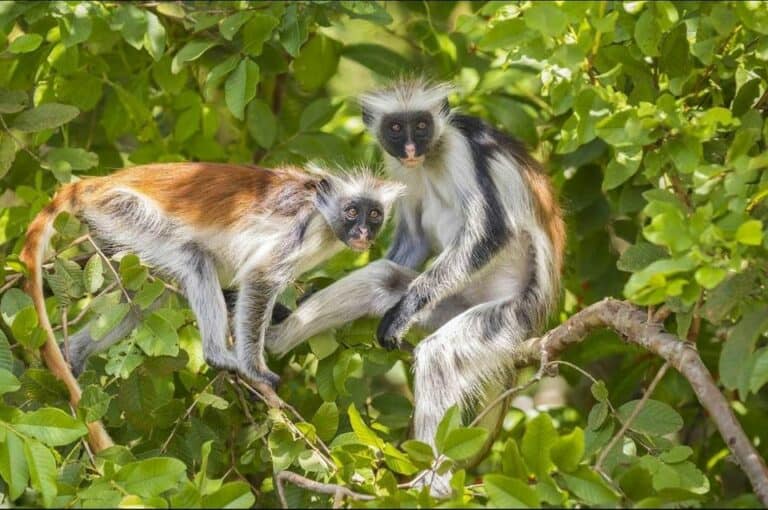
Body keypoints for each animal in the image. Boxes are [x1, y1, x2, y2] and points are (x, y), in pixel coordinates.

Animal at [268, 79, 568, 494]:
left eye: (422, 126)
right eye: (396, 128)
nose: (411, 148)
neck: (431, 158)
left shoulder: (461, 148)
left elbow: (491, 232)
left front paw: (404, 312)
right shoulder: (399, 168)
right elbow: (412, 240)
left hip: (509, 316)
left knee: (440, 355)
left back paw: (433, 485)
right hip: (450, 304)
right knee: (383, 277)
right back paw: (272, 338)